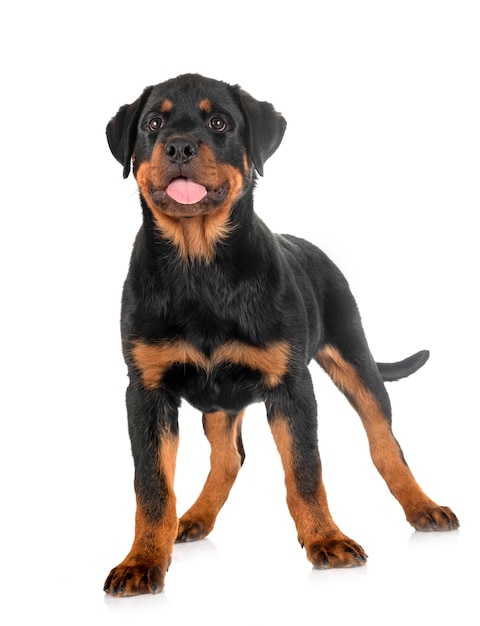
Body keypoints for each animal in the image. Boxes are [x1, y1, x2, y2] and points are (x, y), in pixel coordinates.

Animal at [104, 73, 458, 596]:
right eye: (152, 123)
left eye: (219, 122)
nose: (180, 146)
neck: (199, 266)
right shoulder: (145, 391)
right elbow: (151, 486)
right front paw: (142, 561)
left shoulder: (291, 385)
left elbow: (305, 470)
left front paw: (327, 540)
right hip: (221, 402)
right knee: (229, 456)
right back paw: (195, 518)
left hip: (355, 355)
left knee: (385, 444)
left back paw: (424, 507)